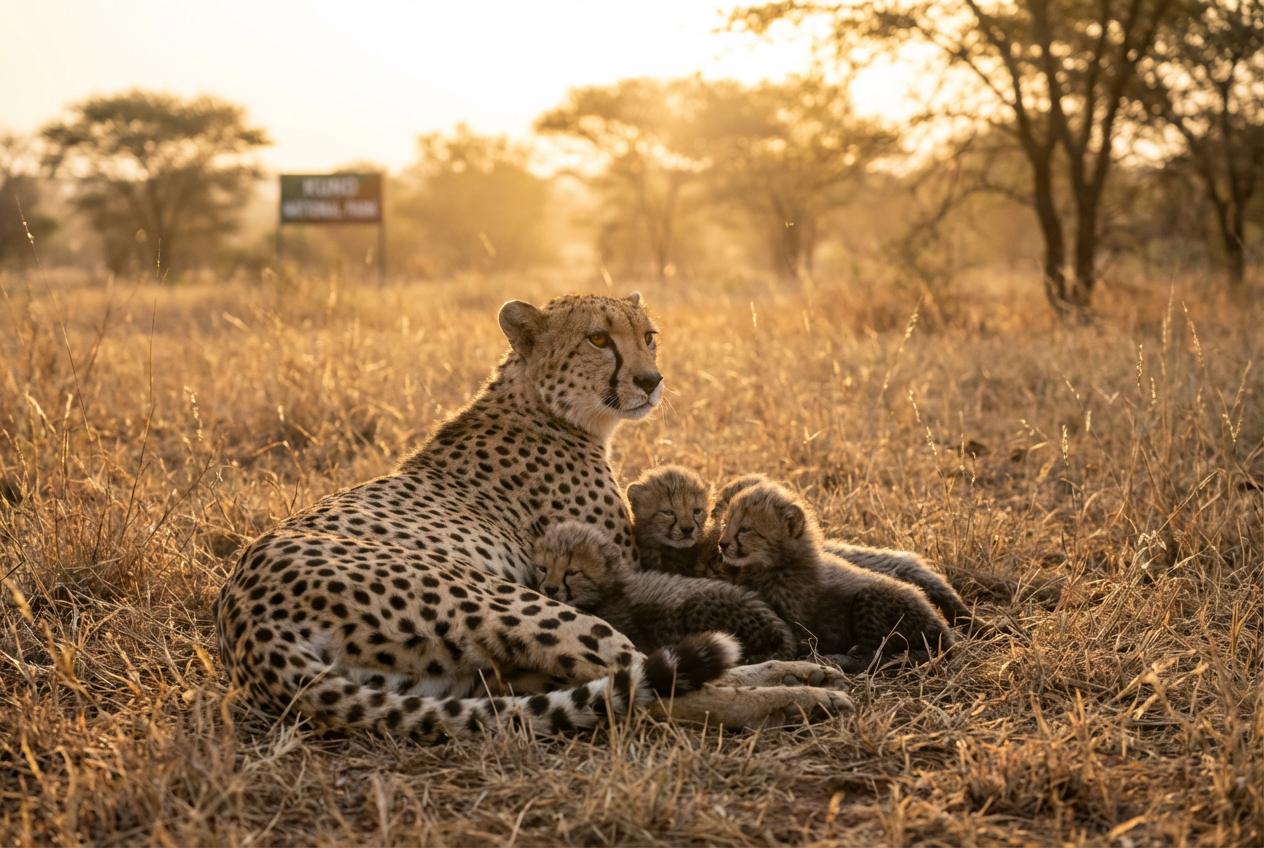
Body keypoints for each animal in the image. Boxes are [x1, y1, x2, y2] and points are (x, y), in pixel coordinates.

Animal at [716, 479, 957, 673]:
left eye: (744, 529)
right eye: (725, 523)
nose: (722, 543)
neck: (775, 565)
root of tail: (940, 626)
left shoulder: (799, 628)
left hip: (872, 597)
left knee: (872, 656)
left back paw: (835, 659)